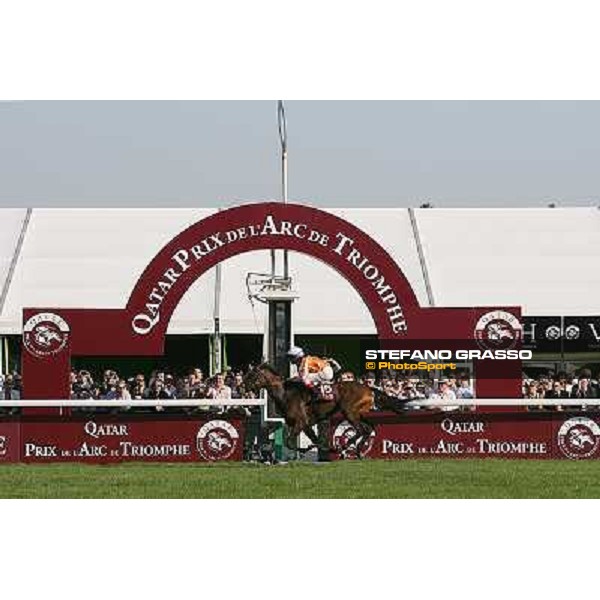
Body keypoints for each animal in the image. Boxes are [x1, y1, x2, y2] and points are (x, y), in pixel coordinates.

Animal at [245, 364, 390, 458]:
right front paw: (313, 448)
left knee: (361, 430)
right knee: (368, 429)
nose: (243, 386)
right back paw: (358, 451)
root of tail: (369, 389)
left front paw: (310, 449)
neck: (285, 394)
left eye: (252, 375)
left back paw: (344, 448)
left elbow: (289, 442)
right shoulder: (304, 424)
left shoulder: (300, 422)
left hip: (349, 413)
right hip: (359, 414)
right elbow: (312, 439)